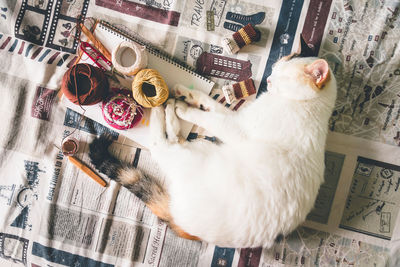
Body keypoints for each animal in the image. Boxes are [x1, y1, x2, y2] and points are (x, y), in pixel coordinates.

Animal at [89, 56, 336, 249]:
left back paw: (164, 110)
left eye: (283, 76)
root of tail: (182, 221)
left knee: (161, 144)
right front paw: (190, 96)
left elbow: (209, 117)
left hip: (191, 153)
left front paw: (186, 109)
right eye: (275, 68)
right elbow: (214, 105)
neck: (306, 104)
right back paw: (172, 107)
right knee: (175, 137)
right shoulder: (237, 117)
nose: (268, 80)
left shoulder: (237, 127)